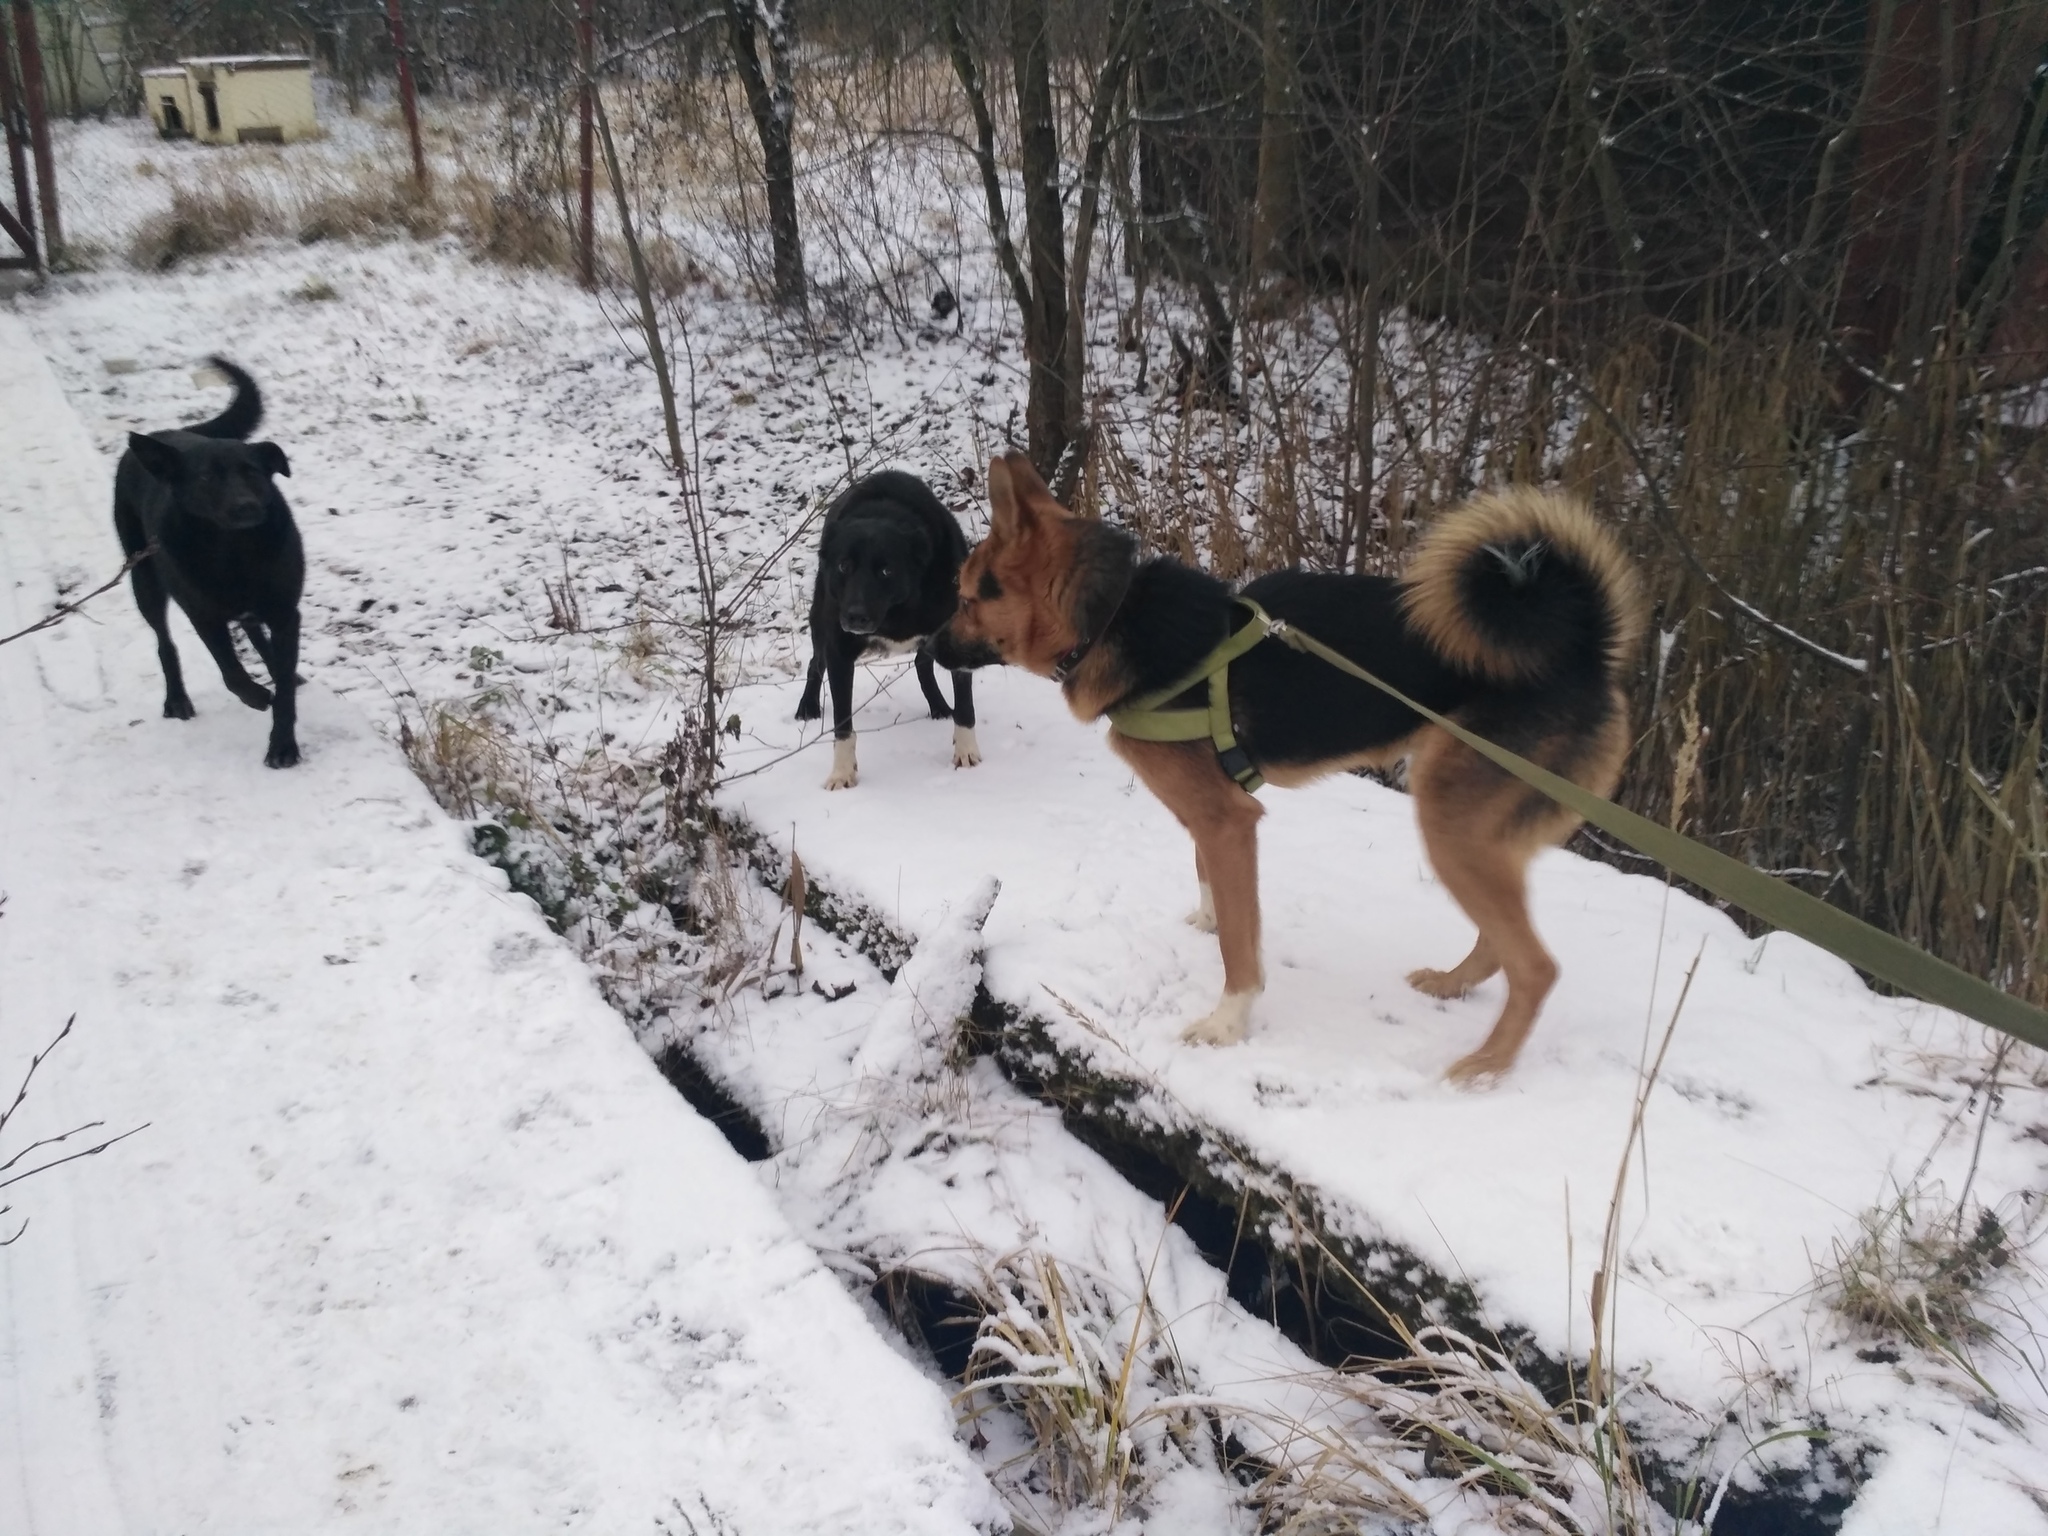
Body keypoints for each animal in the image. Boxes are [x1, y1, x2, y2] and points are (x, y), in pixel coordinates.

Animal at [794, 473, 978, 794]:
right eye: (844, 566)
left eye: (886, 571)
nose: (855, 616)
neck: (897, 610)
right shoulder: (840, 651)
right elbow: (843, 724)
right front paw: (842, 773)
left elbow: (965, 706)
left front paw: (966, 752)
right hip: (820, 619)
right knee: (815, 663)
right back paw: (808, 706)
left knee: (921, 663)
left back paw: (939, 705)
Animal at [929, 456, 1646, 1081]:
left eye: (963, 600)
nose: (930, 648)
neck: (1111, 616)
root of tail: (1583, 650)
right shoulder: (1216, 816)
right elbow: (1212, 888)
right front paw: (1207, 919)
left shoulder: (1227, 819)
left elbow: (1239, 946)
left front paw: (1226, 1023)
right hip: (1481, 833)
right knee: (1503, 939)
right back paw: (1450, 986)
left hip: (1451, 823)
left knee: (1535, 966)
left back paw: (1486, 1067)